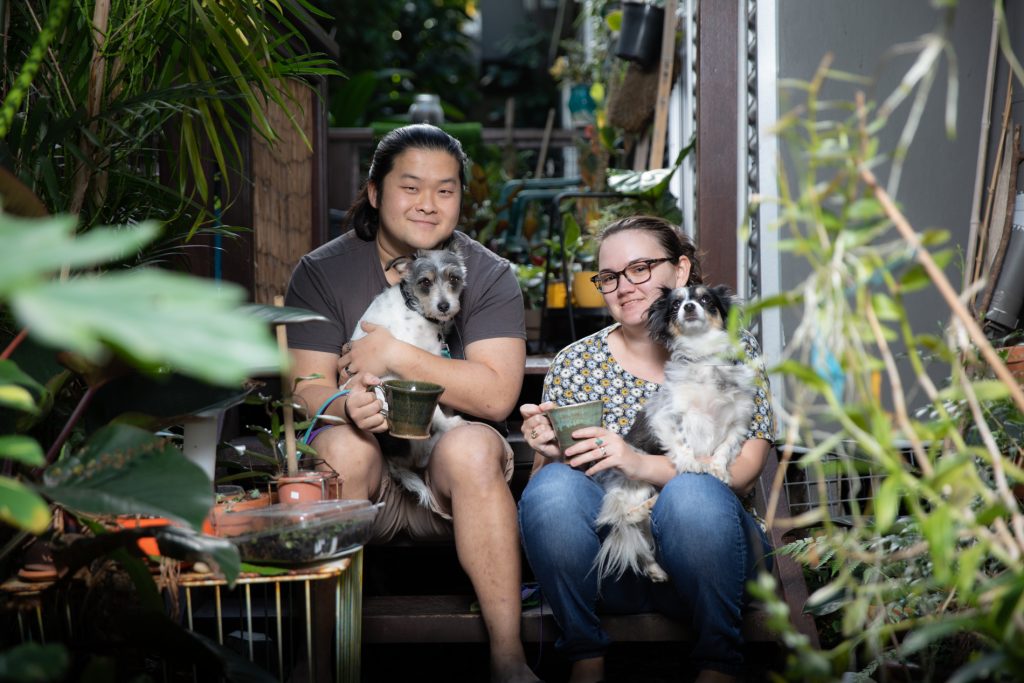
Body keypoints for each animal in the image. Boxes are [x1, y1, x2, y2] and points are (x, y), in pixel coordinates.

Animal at [350, 245, 466, 507]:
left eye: (454, 278)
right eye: (425, 282)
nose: (444, 306)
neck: (415, 310)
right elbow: (436, 410)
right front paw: (451, 422)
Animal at [593, 282, 753, 581]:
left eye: (706, 300)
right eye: (676, 305)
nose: (689, 307)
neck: (703, 358)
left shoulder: (737, 423)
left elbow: (724, 448)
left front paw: (718, 468)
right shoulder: (667, 416)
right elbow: (682, 442)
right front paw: (692, 462)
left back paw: (656, 566)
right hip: (637, 486)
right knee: (625, 519)